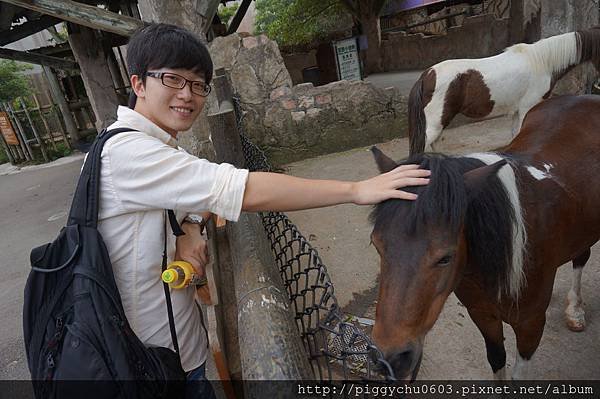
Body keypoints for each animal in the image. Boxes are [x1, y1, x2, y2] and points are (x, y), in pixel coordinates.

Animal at [370, 95, 600, 382]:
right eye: (377, 245)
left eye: (445, 257)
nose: (389, 358)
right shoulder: (482, 314)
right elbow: (497, 358)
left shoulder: (531, 324)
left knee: (581, 257)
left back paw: (575, 310)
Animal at [408, 27, 600, 155]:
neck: (541, 62)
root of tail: (426, 75)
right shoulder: (528, 108)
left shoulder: (518, 110)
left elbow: (516, 134)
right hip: (435, 123)